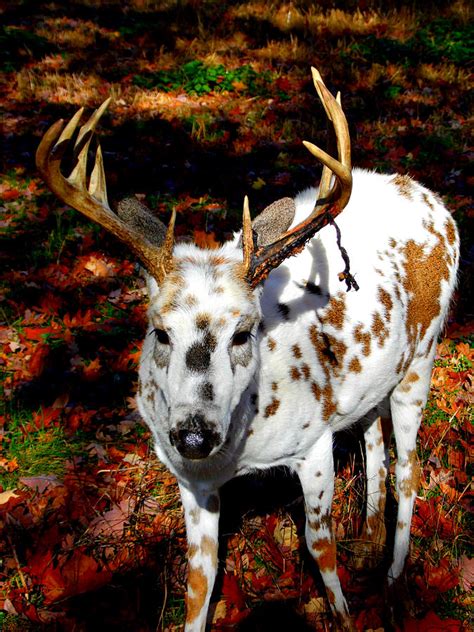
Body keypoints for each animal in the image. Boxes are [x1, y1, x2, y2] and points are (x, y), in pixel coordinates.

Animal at [37, 66, 460, 628]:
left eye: (244, 331)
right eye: (159, 331)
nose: (194, 435)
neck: (236, 454)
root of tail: (429, 196)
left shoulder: (313, 442)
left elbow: (319, 547)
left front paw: (345, 616)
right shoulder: (190, 479)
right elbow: (199, 580)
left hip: (423, 356)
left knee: (409, 470)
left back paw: (394, 580)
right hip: (373, 378)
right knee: (374, 442)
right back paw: (369, 542)